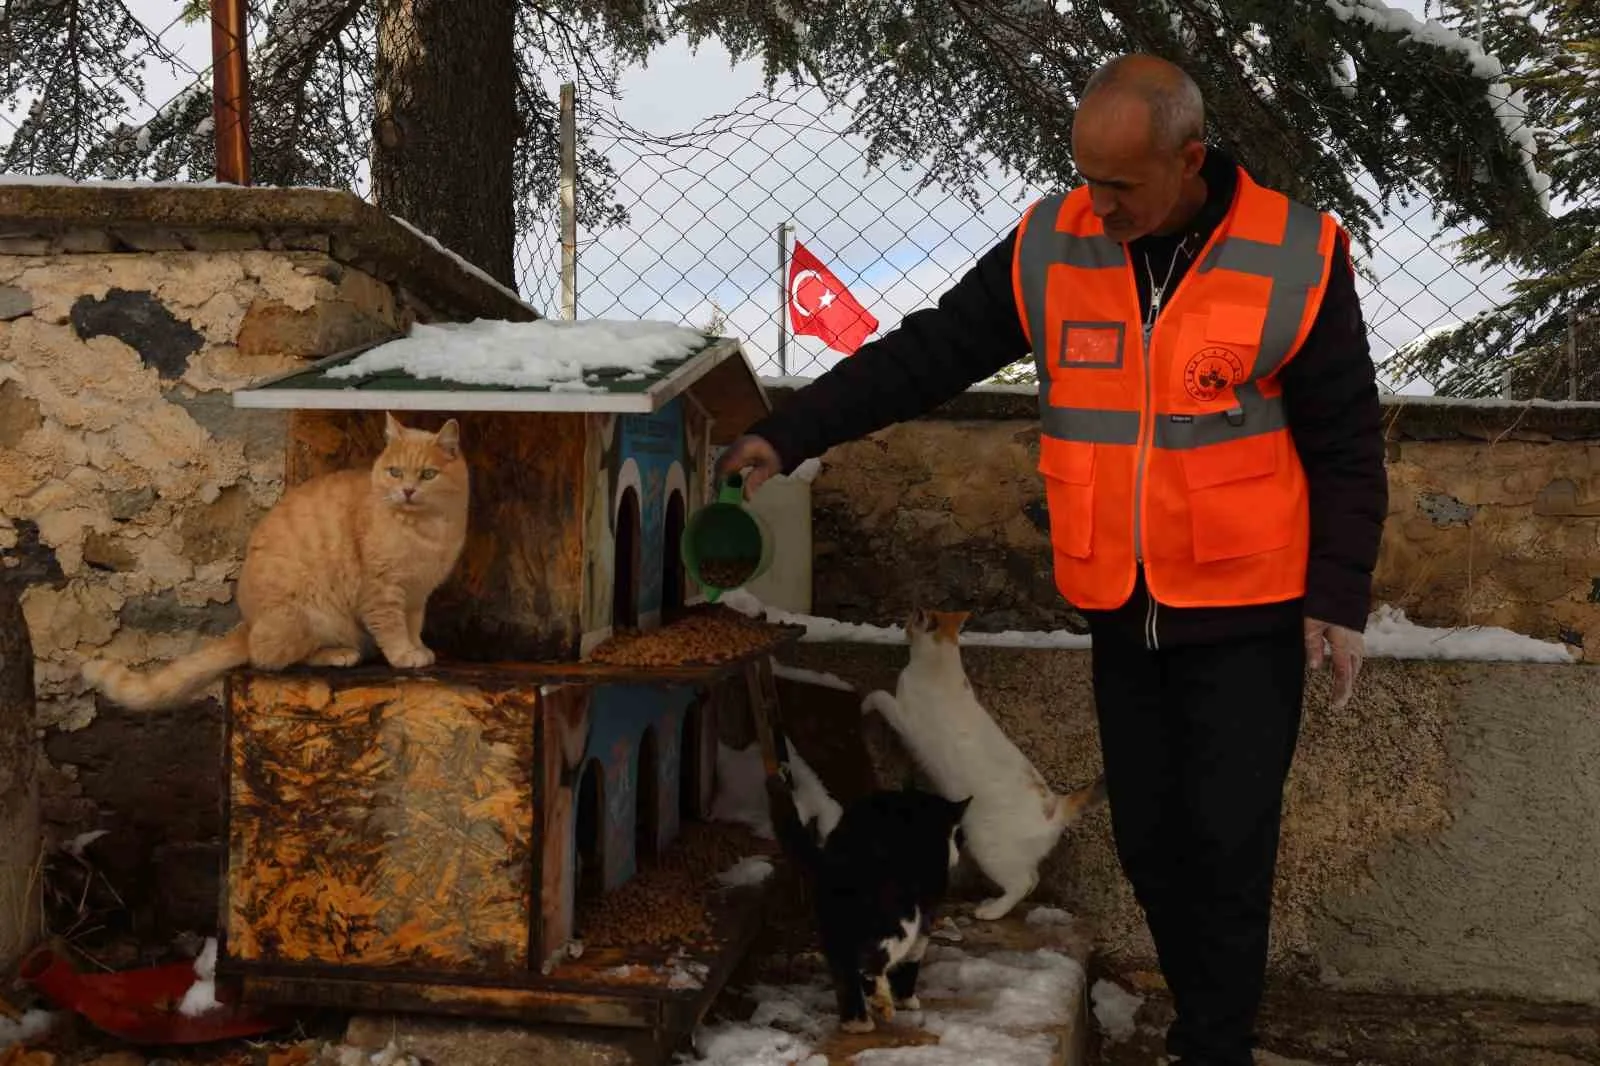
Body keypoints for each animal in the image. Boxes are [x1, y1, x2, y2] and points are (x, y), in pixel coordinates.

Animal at [83, 412, 467, 704]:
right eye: (395, 472)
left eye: (428, 474)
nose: (407, 490)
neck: (425, 529)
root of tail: (248, 624)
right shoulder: (382, 592)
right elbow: (393, 630)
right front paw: (403, 655)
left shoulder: (417, 595)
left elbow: (413, 627)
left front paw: (419, 649)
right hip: (310, 615)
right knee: (270, 658)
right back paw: (339, 654)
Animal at [768, 765, 966, 1030]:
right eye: (958, 837)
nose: (958, 855)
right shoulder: (927, 911)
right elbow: (915, 955)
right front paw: (908, 999)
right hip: (901, 919)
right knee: (868, 965)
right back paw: (881, 1004)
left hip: (834, 928)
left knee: (845, 974)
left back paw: (856, 1024)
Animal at [864, 611, 1100, 915]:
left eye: (910, 620)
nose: (902, 626)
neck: (942, 663)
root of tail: (1054, 807)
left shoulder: (904, 718)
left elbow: (880, 696)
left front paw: (865, 703)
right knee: (1033, 879)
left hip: (986, 845)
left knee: (1022, 883)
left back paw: (990, 912)